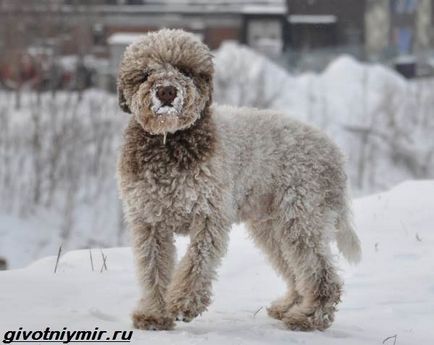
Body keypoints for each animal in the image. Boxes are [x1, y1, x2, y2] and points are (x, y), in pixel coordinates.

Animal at [114, 28, 360, 330]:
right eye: (146, 73)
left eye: (185, 70)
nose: (167, 92)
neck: (169, 142)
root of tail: (336, 154)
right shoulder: (148, 219)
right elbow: (152, 267)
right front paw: (153, 314)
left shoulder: (210, 214)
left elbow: (198, 260)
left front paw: (184, 303)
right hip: (272, 225)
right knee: (297, 270)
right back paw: (290, 305)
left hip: (301, 216)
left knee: (323, 275)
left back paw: (309, 317)